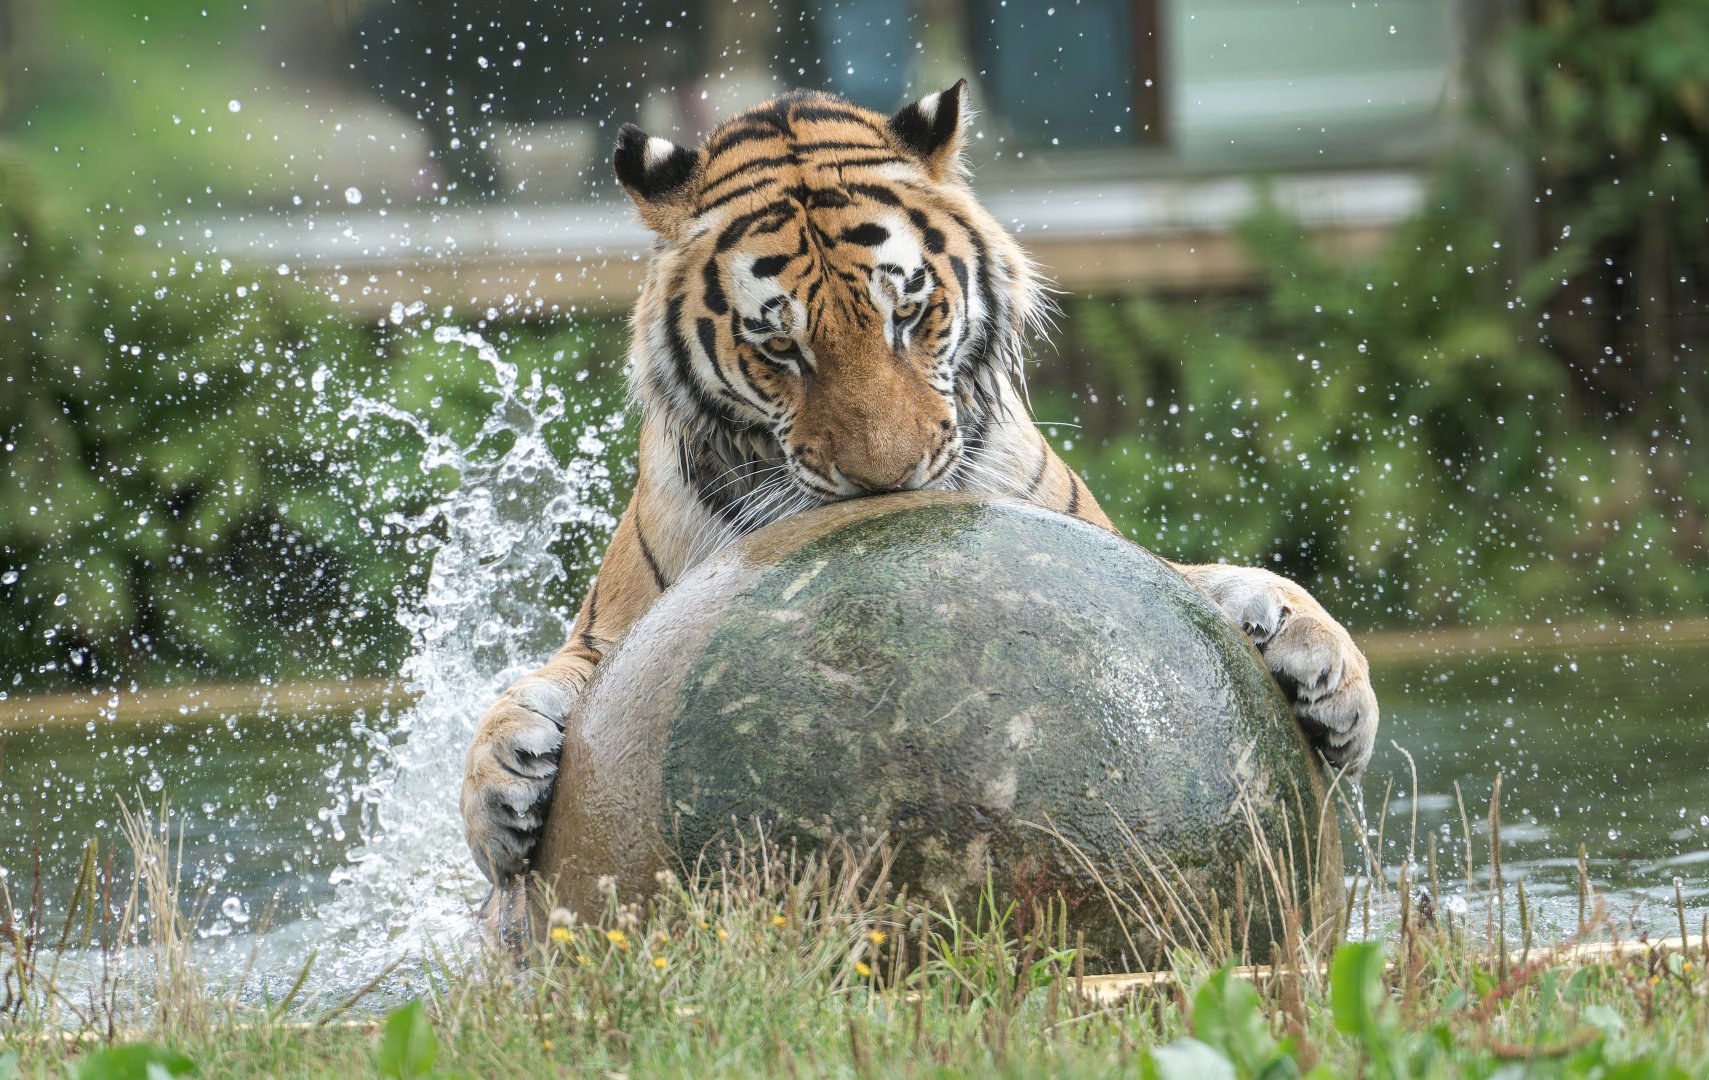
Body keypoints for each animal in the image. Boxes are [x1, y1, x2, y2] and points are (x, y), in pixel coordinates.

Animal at [461, 81, 1379, 887]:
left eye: (907, 314)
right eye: (779, 346)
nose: (885, 479)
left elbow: (1224, 579)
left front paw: (1330, 677)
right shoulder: (609, 632)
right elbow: (530, 686)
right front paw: (499, 790)